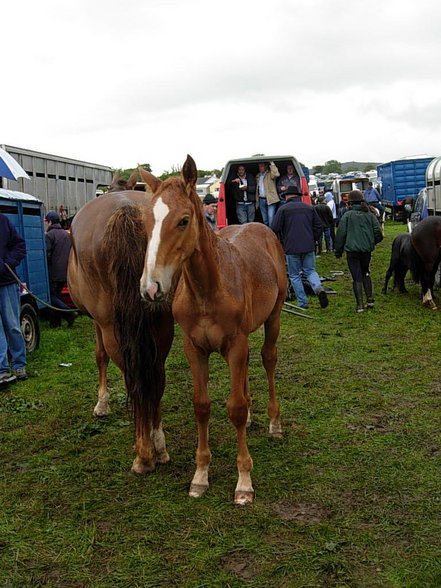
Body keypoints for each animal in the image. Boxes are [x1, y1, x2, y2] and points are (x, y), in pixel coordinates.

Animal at [67, 188, 174, 474]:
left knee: (133, 379)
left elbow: (100, 356)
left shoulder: (97, 323)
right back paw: (158, 445)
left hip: (110, 327)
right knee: (156, 378)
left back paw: (143, 455)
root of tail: (126, 210)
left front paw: (102, 403)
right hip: (162, 323)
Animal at [138, 156, 288, 506]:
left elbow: (234, 407)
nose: (151, 288)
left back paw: (274, 424)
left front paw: (244, 482)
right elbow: (202, 405)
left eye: (183, 220)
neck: (207, 290)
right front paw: (200, 476)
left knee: (268, 359)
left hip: (273, 317)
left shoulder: (235, 344)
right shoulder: (194, 348)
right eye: (145, 222)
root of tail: (259, 225)